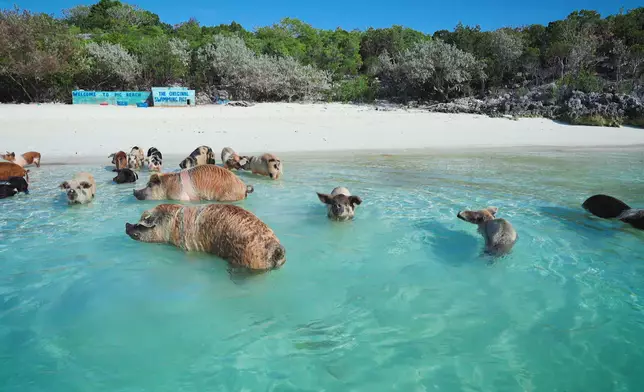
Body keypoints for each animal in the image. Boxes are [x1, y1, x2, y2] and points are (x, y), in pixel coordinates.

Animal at [124, 204, 286, 272]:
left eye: (141, 224)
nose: (126, 225)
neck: (170, 225)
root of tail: (277, 249)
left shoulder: (185, 245)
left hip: (248, 259)